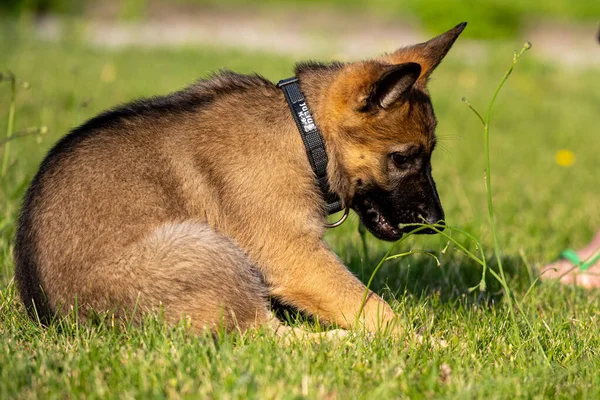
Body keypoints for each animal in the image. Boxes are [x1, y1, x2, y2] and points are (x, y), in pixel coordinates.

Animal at [12, 23, 464, 336]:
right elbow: (373, 307)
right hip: (206, 247)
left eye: (428, 155)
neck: (305, 135)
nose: (437, 222)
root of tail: (53, 319)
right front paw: (419, 344)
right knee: (267, 337)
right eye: (403, 158)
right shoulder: (294, 255)